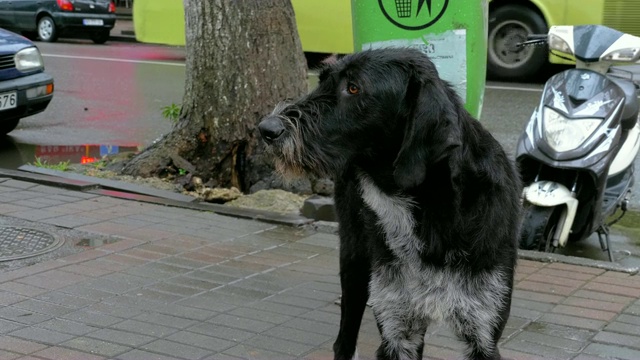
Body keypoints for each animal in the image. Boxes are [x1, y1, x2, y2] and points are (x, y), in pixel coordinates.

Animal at [258, 48, 524, 360]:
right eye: (322, 80)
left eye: (353, 88)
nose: (266, 128)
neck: (430, 209)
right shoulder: (398, 329)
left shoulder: (484, 331)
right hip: (354, 261)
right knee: (344, 340)